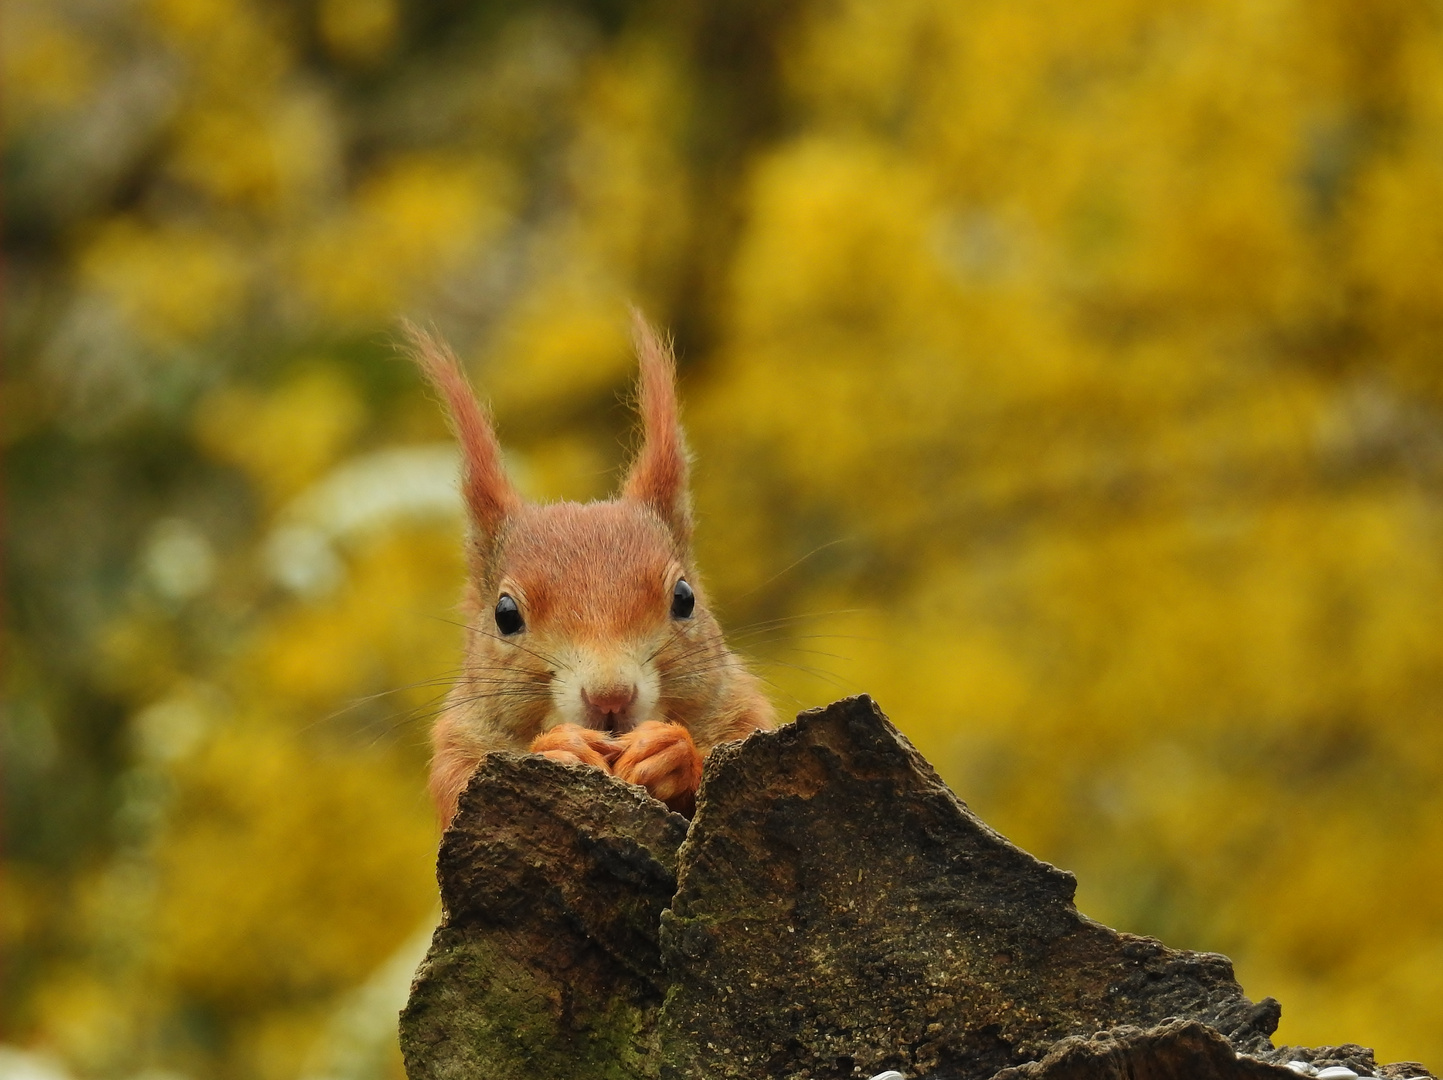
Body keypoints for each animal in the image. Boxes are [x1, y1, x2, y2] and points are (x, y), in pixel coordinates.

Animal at [406, 311, 779, 825]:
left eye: (685, 599)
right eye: (505, 614)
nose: (610, 697)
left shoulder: (744, 711)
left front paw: (671, 752)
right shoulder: (457, 745)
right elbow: (456, 785)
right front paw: (560, 749)